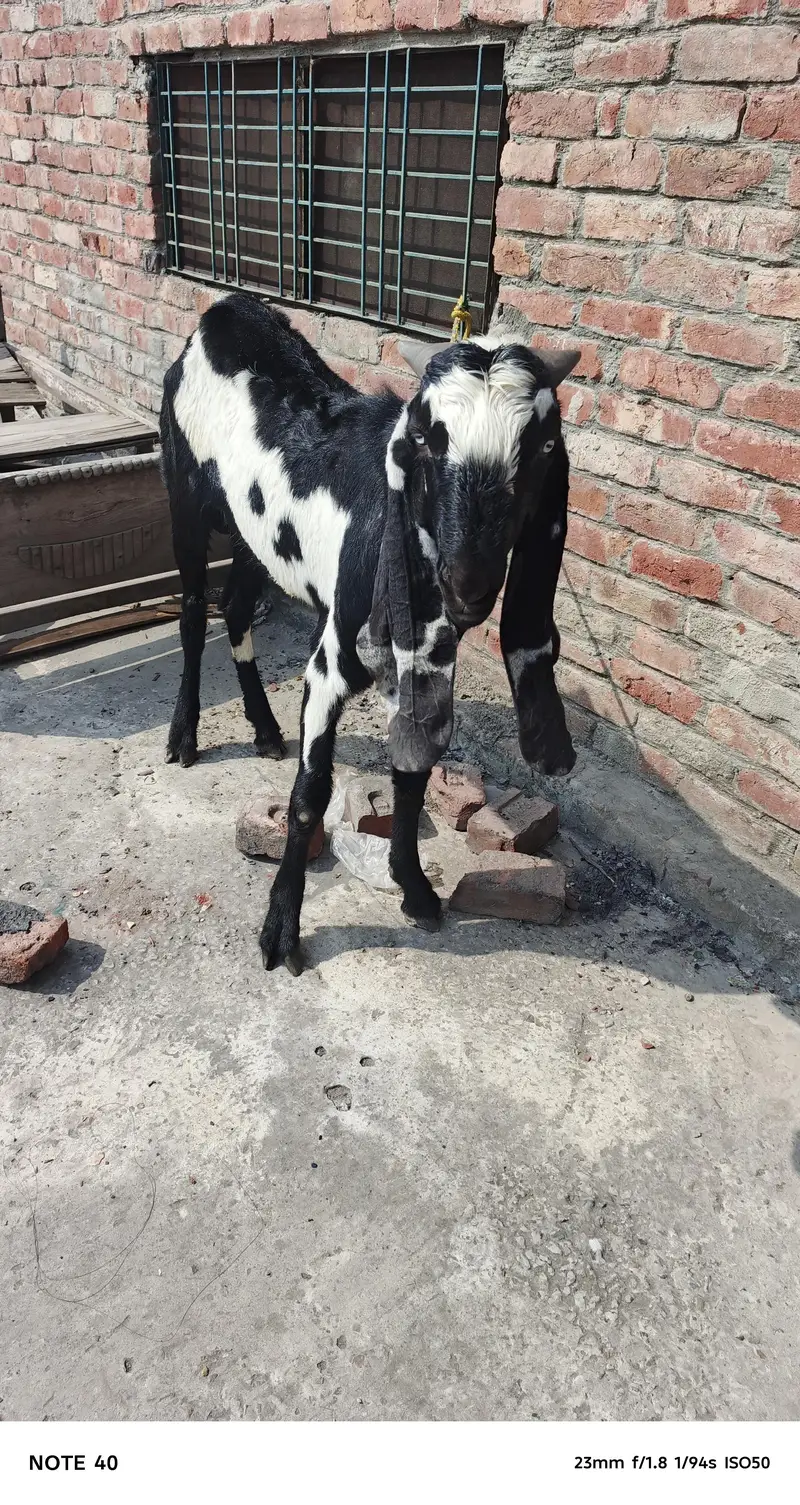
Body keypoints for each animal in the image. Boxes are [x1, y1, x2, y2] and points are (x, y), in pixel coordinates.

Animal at [160, 291, 579, 974]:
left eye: (543, 447)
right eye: (428, 438)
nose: (468, 582)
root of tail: (225, 311)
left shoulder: (418, 669)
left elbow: (411, 778)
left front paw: (414, 889)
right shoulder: (330, 663)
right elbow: (310, 794)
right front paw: (280, 931)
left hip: (256, 538)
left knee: (237, 608)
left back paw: (265, 729)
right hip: (184, 498)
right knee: (195, 612)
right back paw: (184, 735)